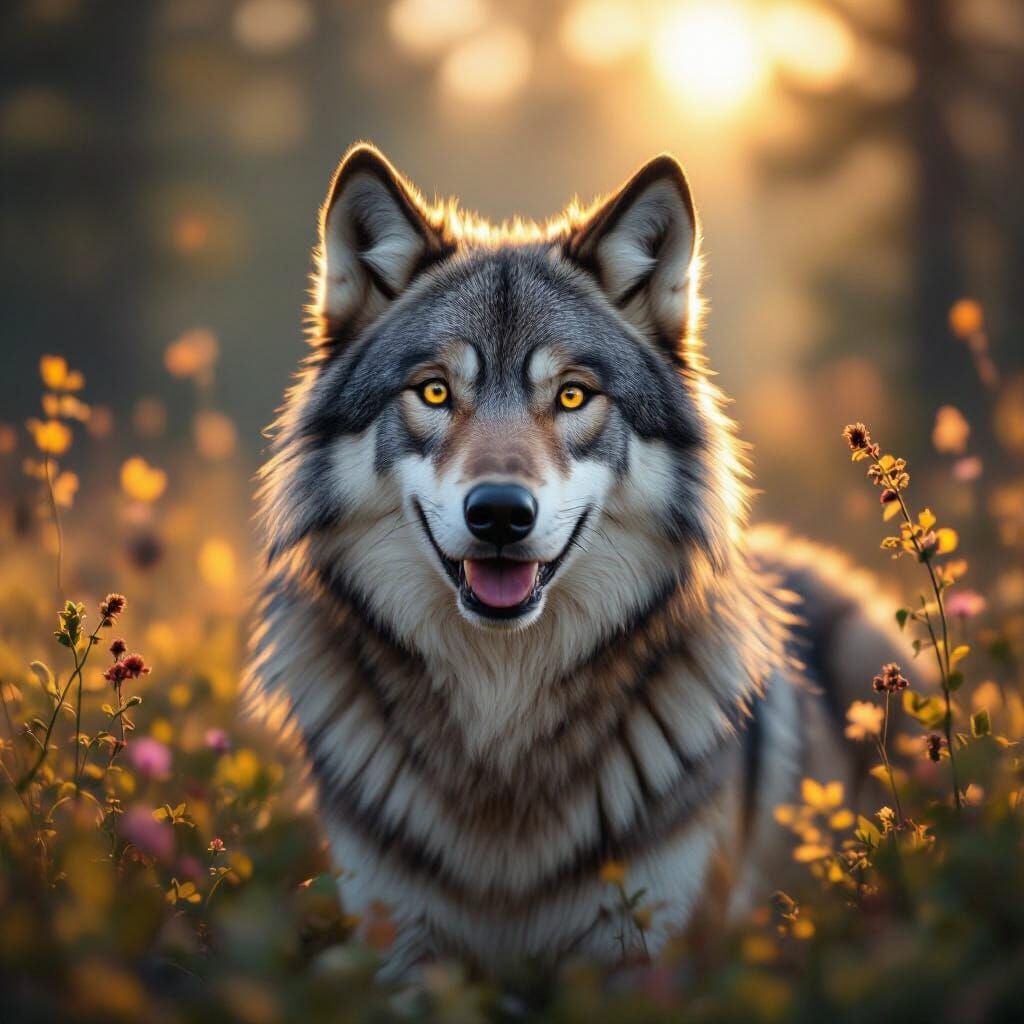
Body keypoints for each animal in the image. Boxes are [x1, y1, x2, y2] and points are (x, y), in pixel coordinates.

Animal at [246, 144, 908, 977]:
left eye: (570, 396)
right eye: (434, 392)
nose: (500, 513)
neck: (501, 719)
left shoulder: (645, 952)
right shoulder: (405, 947)